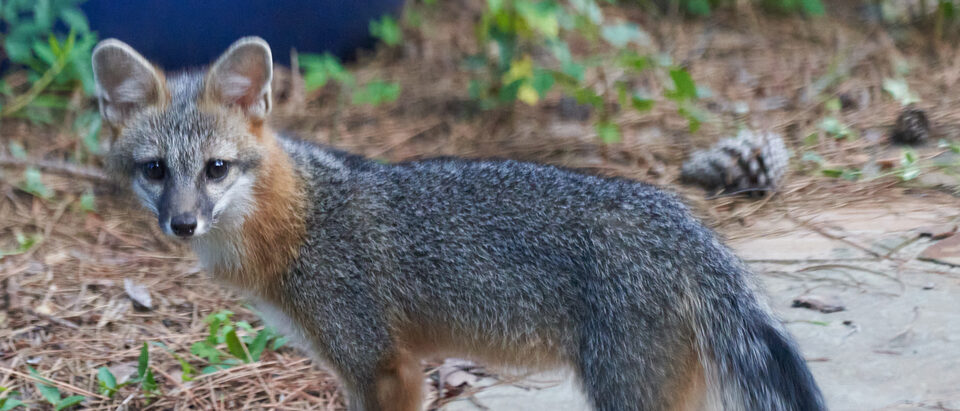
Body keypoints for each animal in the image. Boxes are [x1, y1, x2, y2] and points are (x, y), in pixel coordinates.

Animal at [91, 37, 825, 411]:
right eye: (155, 170)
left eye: (215, 169)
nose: (183, 223)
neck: (299, 220)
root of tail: (684, 223)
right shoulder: (370, 368)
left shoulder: (381, 367)